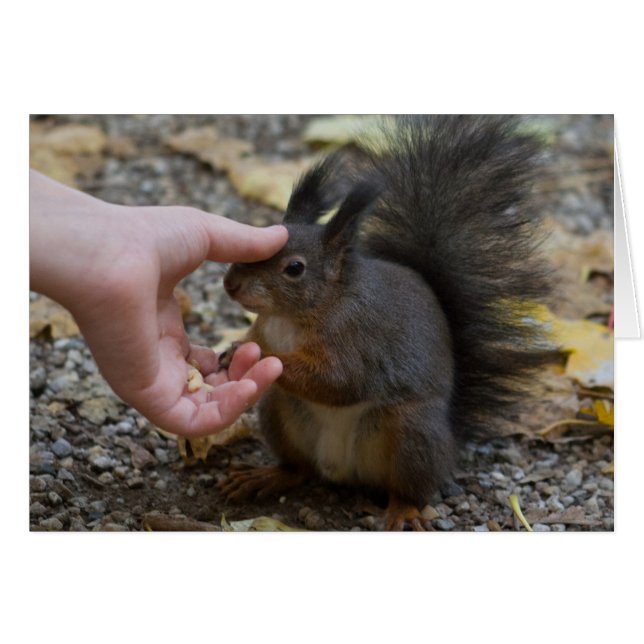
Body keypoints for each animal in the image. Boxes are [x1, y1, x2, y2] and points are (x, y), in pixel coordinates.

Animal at [218, 115, 556, 530]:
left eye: (294, 268)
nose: (230, 284)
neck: (293, 316)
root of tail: (340, 471)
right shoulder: (264, 325)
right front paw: (232, 349)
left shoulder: (360, 340)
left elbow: (339, 381)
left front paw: (263, 356)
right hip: (280, 412)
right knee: (299, 469)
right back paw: (267, 476)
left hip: (412, 433)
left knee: (409, 488)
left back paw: (403, 511)